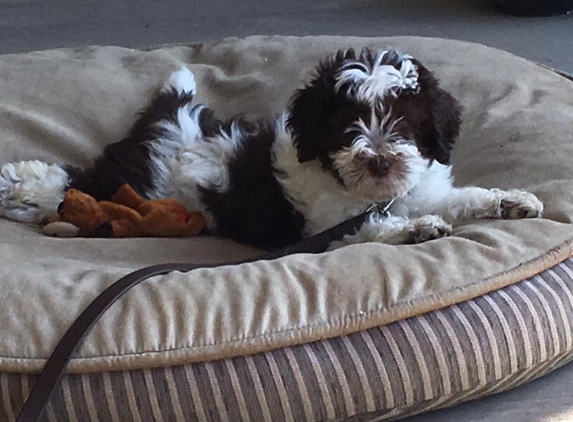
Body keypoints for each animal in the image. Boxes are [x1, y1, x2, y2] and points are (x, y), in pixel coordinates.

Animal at [0, 47, 540, 251]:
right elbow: (367, 228)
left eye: (405, 124)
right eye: (348, 128)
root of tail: (168, 115)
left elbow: (461, 198)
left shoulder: (424, 188)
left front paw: (510, 201)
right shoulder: (325, 225)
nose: (380, 160)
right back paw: (19, 187)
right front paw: (415, 229)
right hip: (131, 177)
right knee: (71, 181)